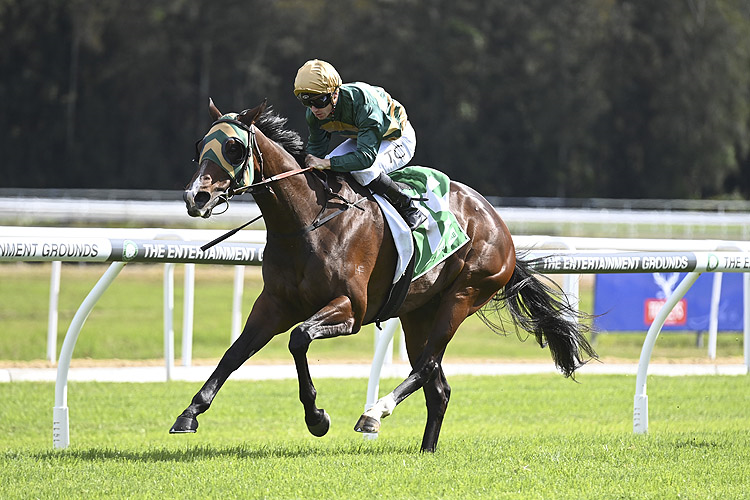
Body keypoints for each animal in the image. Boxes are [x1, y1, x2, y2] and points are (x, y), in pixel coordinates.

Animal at [172, 99, 600, 452]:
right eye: (199, 146)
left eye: (234, 148)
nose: (196, 197)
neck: (307, 221)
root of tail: (498, 223)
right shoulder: (275, 304)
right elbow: (235, 353)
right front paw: (189, 413)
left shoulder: (350, 309)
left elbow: (299, 339)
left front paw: (317, 418)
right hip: (417, 312)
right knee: (438, 385)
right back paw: (426, 449)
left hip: (463, 296)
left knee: (426, 366)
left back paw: (374, 413)